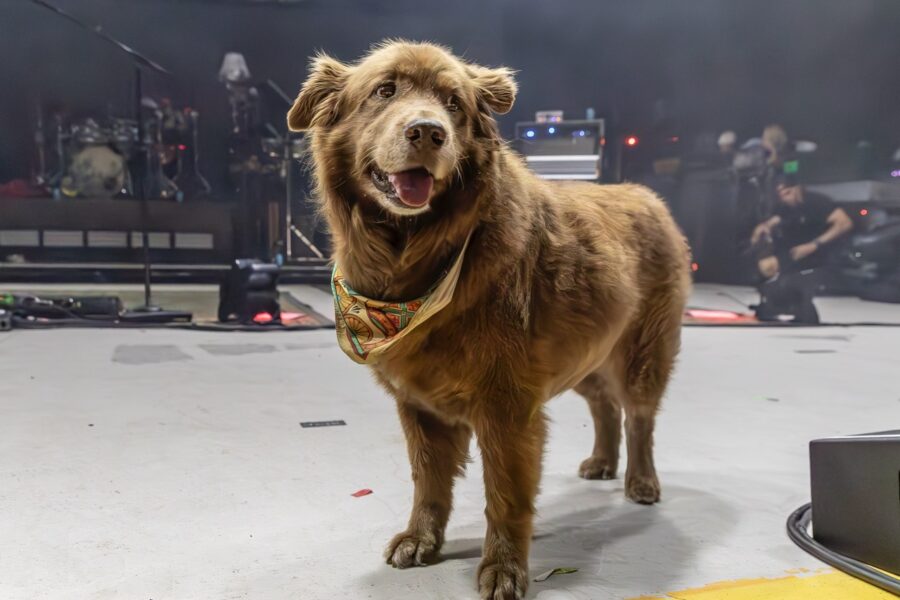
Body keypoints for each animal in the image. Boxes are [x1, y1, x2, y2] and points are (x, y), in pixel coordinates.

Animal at [288, 42, 688, 600]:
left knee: (639, 417)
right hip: (584, 353)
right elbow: (428, 481)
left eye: (453, 103)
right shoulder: (419, 404)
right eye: (384, 91)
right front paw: (421, 538)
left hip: (642, 353)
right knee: (605, 406)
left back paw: (641, 481)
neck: (421, 257)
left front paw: (503, 567)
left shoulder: (508, 405)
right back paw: (602, 462)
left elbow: (505, 494)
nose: (428, 131)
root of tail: (648, 195)